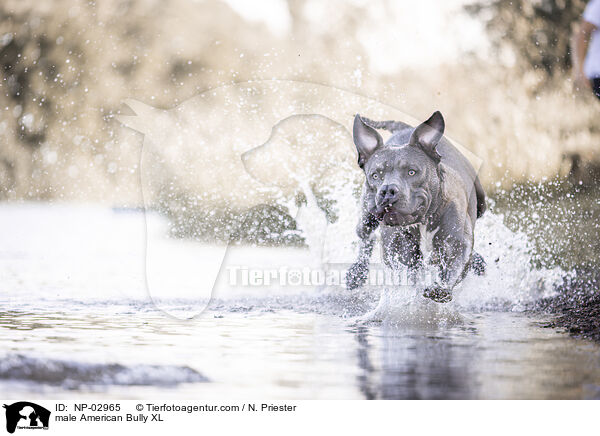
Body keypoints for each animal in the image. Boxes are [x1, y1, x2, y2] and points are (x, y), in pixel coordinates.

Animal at [344, 110, 486, 302]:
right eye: (375, 175)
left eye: (412, 172)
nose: (387, 190)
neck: (423, 220)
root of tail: (404, 128)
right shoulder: (398, 250)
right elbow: (407, 272)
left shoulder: (456, 243)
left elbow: (453, 266)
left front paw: (439, 289)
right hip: (366, 216)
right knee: (366, 238)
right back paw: (356, 273)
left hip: (481, 203)